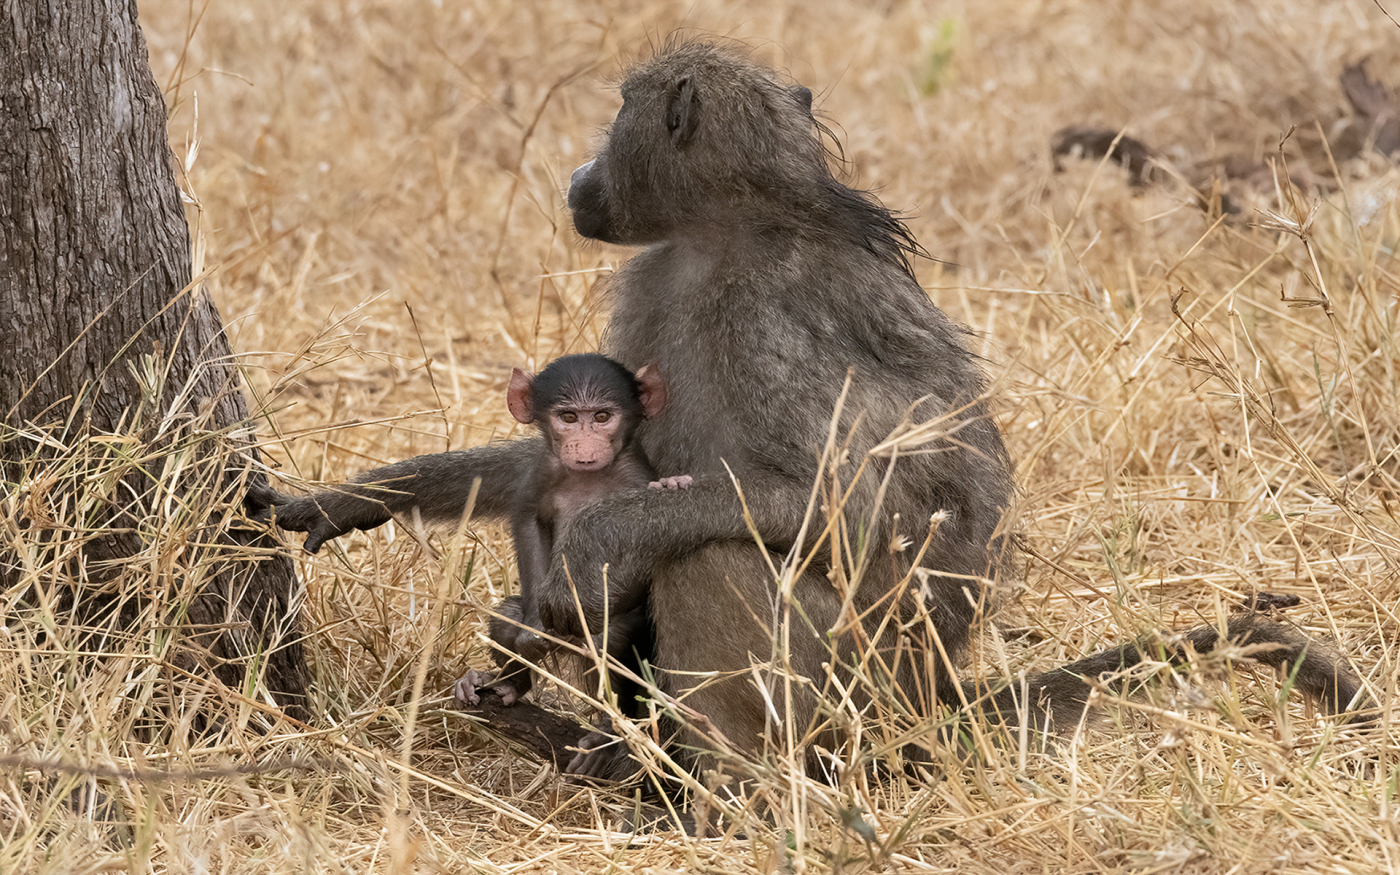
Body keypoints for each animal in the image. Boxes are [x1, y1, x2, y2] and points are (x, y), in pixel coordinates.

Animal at [262, 39, 1364, 780]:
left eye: (611, 117)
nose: (574, 175)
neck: (731, 228)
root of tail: (937, 697)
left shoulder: (763, 319)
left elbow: (847, 502)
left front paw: (589, 555)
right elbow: (565, 466)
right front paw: (340, 503)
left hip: (858, 682)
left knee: (708, 557)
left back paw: (721, 786)